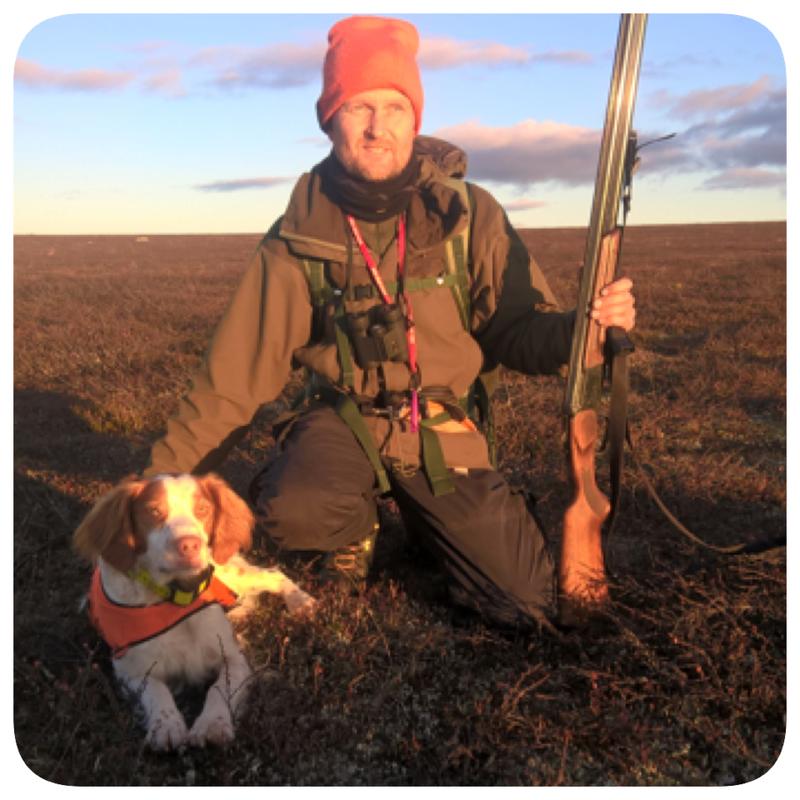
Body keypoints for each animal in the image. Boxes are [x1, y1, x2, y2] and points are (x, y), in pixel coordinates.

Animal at [73, 472, 315, 751]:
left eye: (203, 509)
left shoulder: (235, 659)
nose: (189, 545)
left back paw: (300, 601)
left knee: (273, 575)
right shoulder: (130, 670)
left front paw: (212, 724)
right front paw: (167, 725)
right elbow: (156, 691)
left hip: (229, 572)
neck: (179, 600)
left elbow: (219, 689)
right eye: (154, 511)